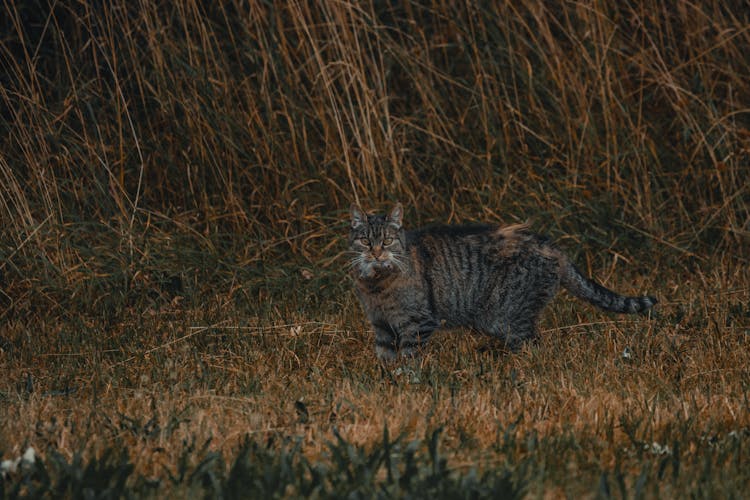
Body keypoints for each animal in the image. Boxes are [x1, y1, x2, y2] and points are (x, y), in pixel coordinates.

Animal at [348, 201, 656, 362]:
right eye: (365, 241)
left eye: (387, 241)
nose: (376, 253)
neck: (376, 285)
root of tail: (549, 244)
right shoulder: (381, 326)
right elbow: (385, 359)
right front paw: (388, 385)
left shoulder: (418, 323)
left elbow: (410, 359)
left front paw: (408, 385)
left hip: (506, 317)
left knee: (535, 347)